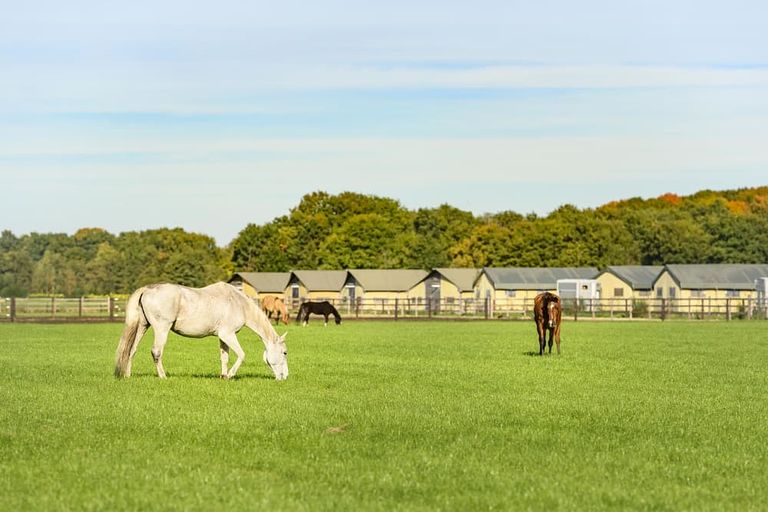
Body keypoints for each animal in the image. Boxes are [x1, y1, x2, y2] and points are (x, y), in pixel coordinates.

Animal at [115, 282, 288, 380]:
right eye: (285, 352)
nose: (285, 377)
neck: (239, 304)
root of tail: (148, 289)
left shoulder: (222, 337)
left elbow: (224, 357)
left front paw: (223, 376)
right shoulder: (228, 335)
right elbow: (241, 355)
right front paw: (231, 375)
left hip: (143, 326)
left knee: (132, 350)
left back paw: (128, 376)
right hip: (161, 328)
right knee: (156, 352)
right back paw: (163, 376)